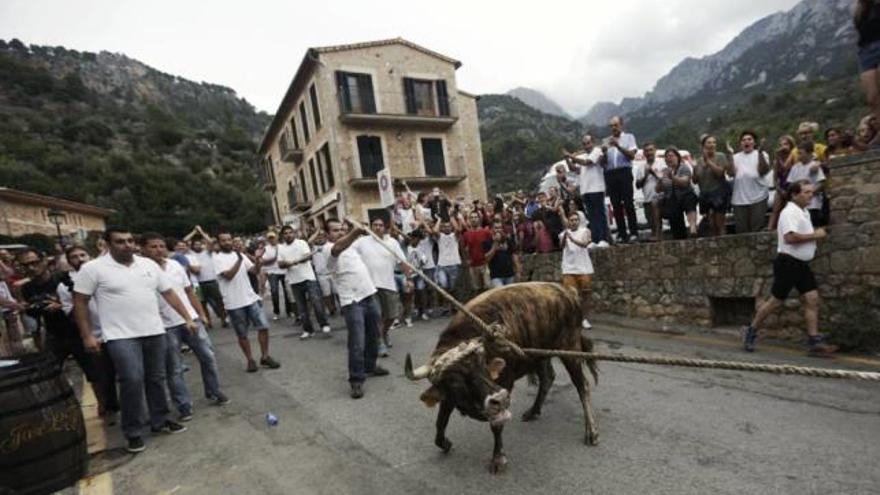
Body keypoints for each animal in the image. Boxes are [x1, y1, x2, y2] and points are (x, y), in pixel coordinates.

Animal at [404, 282, 600, 472]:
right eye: (454, 382)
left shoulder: (506, 384)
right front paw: (444, 443)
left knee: (582, 385)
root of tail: (567, 291)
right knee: (548, 378)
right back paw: (534, 411)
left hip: (570, 349)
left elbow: (496, 426)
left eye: (483, 366)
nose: (499, 397)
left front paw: (498, 459)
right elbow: (441, 421)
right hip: (538, 355)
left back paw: (591, 432)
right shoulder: (448, 396)